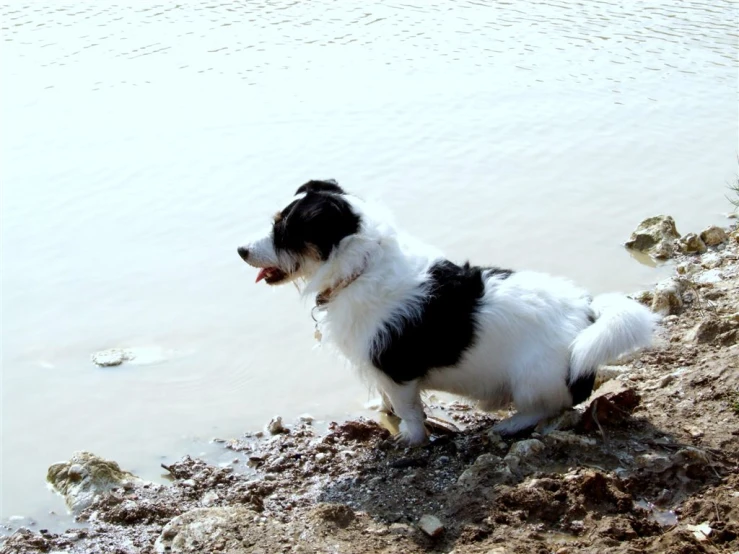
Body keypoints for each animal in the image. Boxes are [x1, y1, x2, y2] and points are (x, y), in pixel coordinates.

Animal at [238, 179, 660, 446]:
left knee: (550, 407)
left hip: (532, 379)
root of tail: (588, 312)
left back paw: (510, 425)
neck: (359, 267)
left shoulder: (397, 371)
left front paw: (410, 439)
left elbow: (409, 410)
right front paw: (381, 411)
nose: (241, 250)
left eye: (284, 231)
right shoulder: (379, 371)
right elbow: (387, 401)